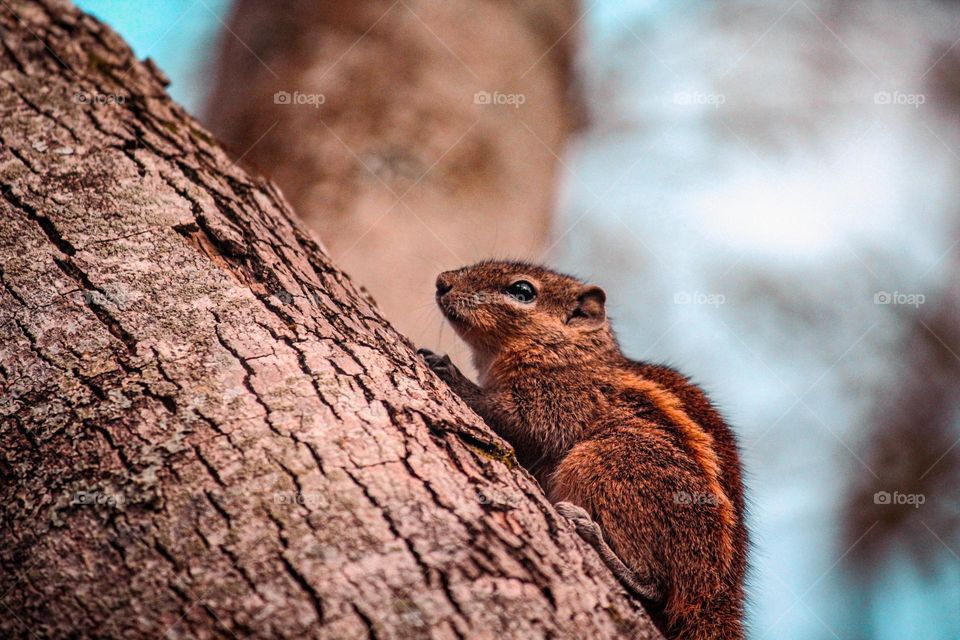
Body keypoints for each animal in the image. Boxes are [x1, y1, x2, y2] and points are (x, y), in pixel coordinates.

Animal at [418, 261, 747, 640]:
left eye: (522, 291)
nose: (442, 282)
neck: (572, 353)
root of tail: (716, 594)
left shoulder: (562, 400)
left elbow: (519, 421)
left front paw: (451, 373)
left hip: (609, 463)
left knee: (656, 586)